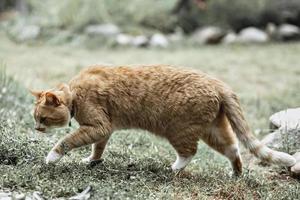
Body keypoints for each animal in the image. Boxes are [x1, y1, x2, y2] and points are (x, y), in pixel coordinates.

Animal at [29, 65, 296, 174]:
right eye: (36, 118)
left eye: (43, 118)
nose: (37, 128)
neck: (75, 94)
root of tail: (217, 82)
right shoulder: (103, 130)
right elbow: (98, 147)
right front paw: (93, 160)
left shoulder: (98, 126)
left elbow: (67, 140)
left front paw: (51, 157)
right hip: (213, 130)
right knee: (234, 148)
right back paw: (236, 174)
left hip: (178, 130)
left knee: (190, 152)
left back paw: (175, 167)